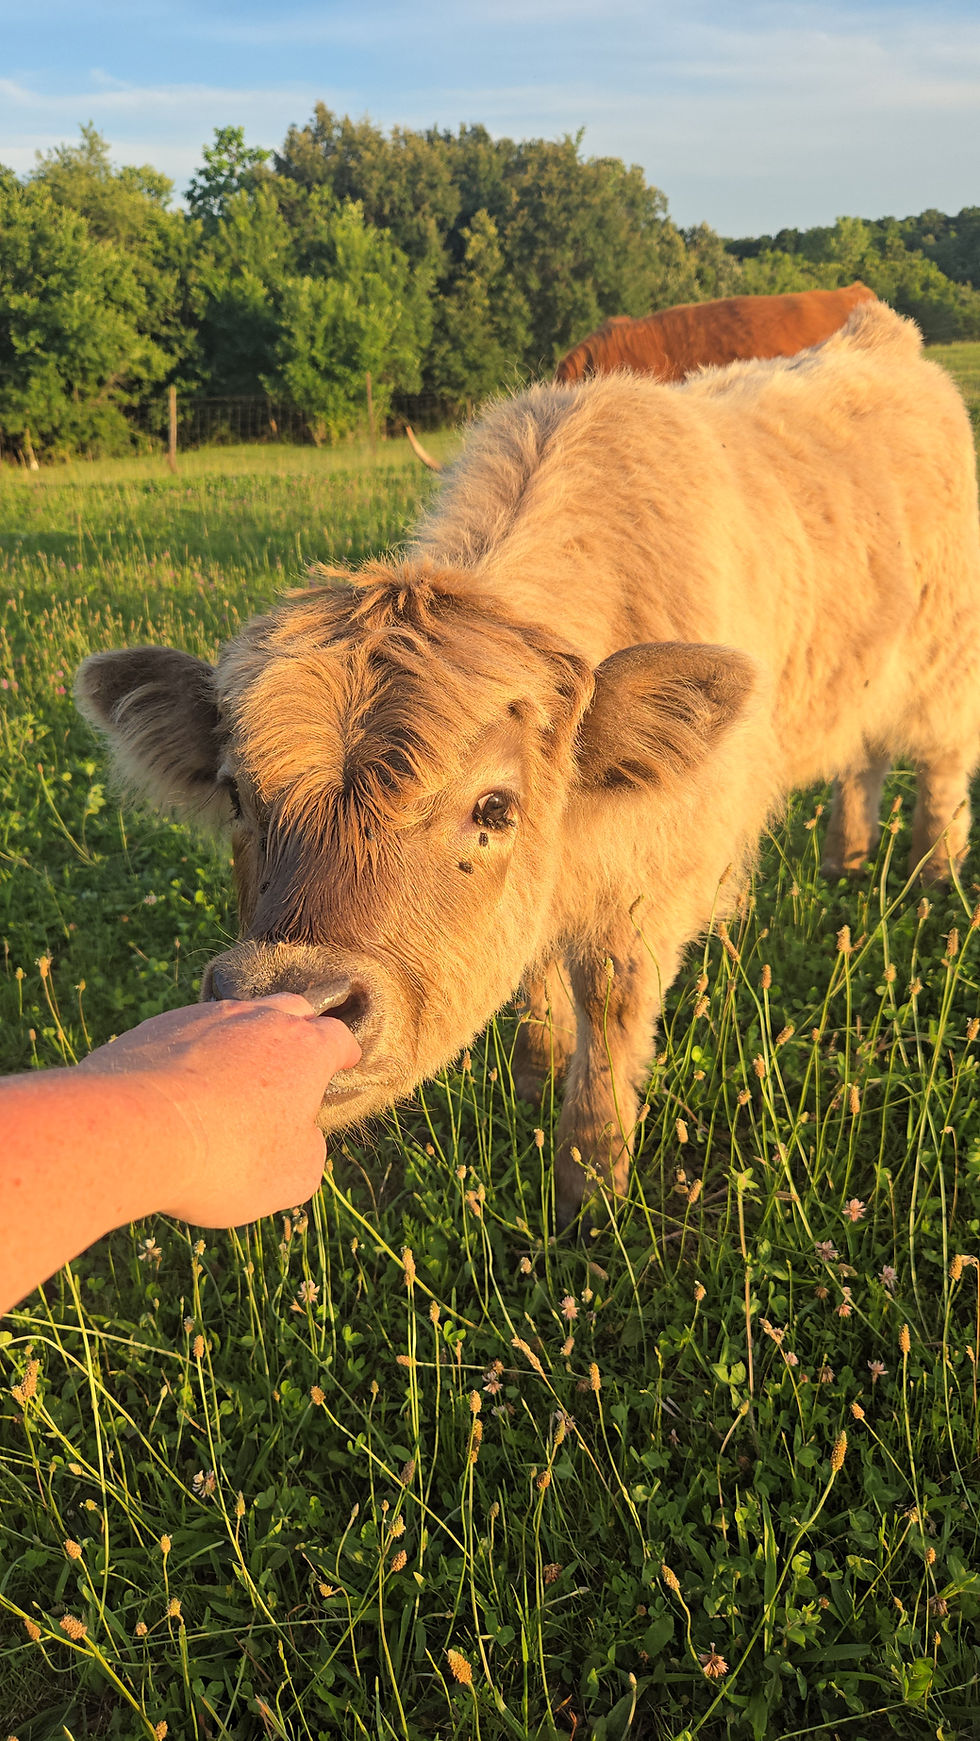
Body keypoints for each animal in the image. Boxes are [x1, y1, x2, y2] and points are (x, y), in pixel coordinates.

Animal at [76, 303, 980, 1225]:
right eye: (236, 795)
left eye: (494, 807)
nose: (292, 1002)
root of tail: (880, 333)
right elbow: (537, 984)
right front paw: (536, 1084)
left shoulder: (647, 893)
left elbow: (610, 1022)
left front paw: (592, 1183)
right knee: (862, 759)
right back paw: (846, 857)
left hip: (946, 660)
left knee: (939, 770)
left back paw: (931, 879)